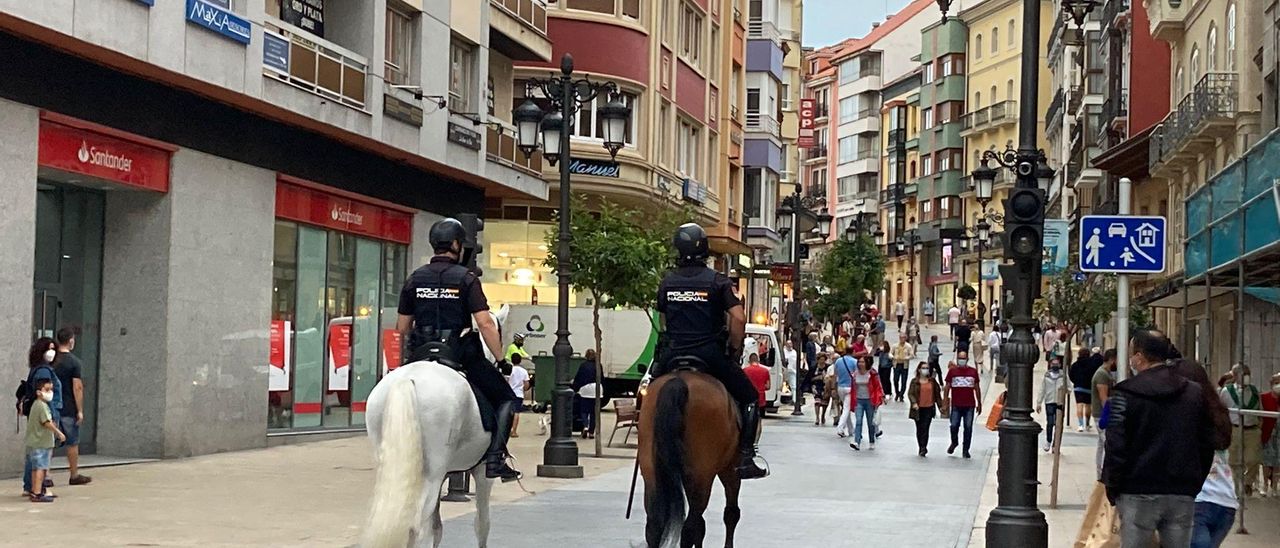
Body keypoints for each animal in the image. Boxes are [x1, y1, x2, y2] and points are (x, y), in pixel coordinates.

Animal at [360, 303, 509, 548]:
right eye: (498, 332)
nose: (503, 363)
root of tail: (407, 380)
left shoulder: (445, 477)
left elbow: (438, 527)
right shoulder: (482, 472)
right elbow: (482, 524)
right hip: (432, 473)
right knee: (416, 526)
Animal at [637, 371, 742, 545]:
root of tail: (678, 380)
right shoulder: (731, 468)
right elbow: (731, 514)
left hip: (651, 474)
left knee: (654, 526)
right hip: (702, 478)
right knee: (690, 527)